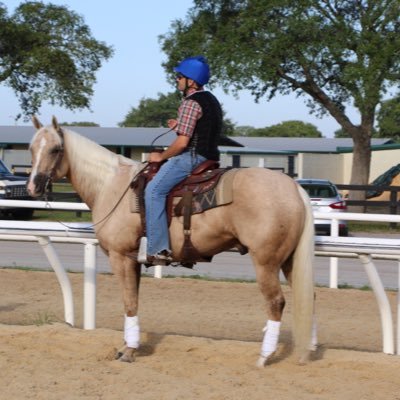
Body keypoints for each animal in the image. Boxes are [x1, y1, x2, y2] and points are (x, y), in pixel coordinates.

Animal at [27, 115, 316, 366]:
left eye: (55, 149)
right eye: (31, 148)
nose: (33, 187)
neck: (112, 185)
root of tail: (293, 187)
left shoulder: (120, 257)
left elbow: (128, 302)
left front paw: (129, 351)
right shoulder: (134, 259)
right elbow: (133, 301)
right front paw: (127, 345)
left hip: (266, 261)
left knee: (275, 301)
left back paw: (264, 357)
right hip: (288, 261)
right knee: (306, 297)